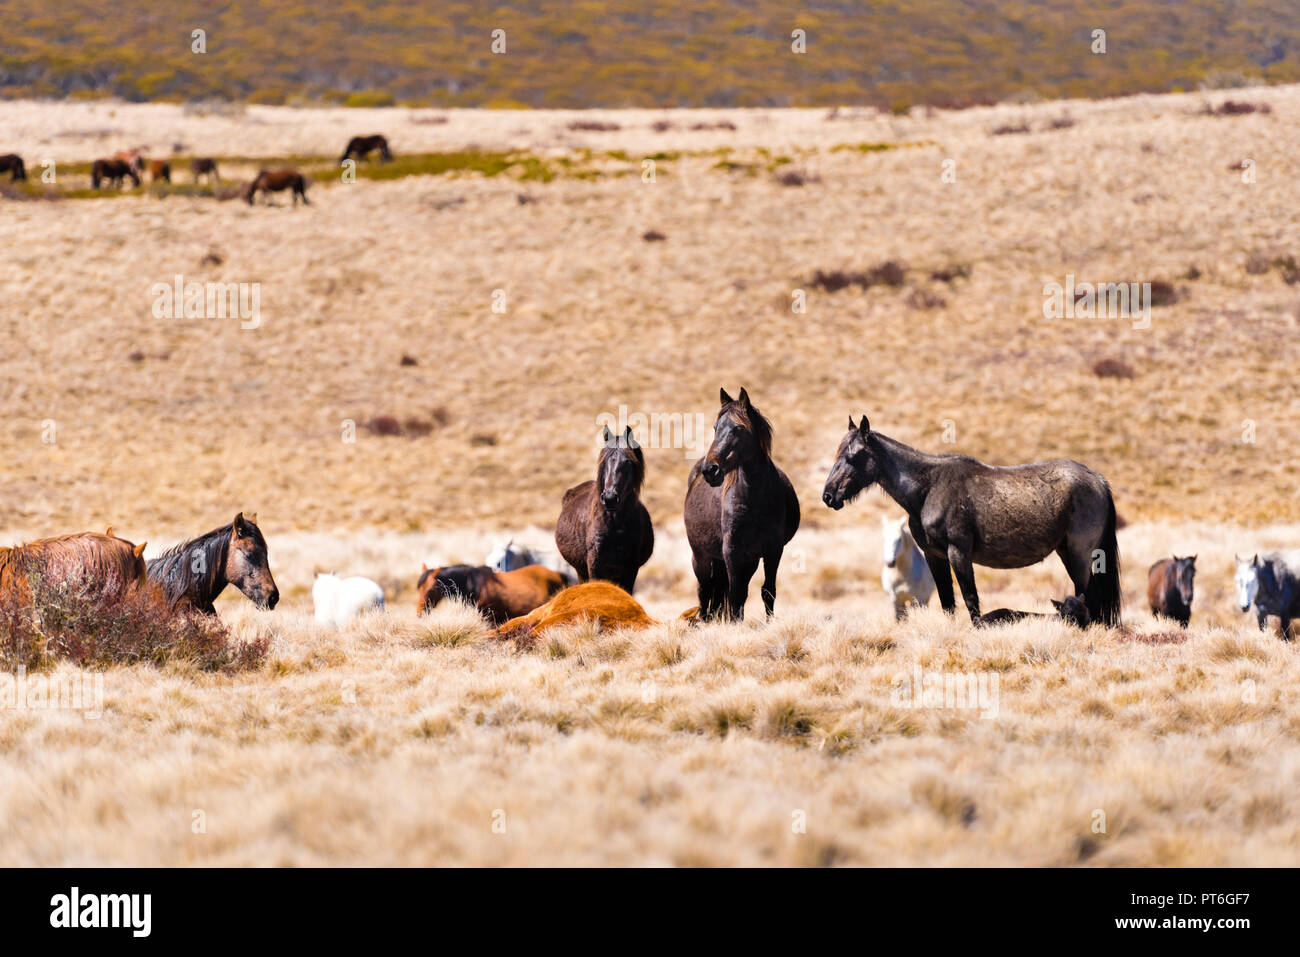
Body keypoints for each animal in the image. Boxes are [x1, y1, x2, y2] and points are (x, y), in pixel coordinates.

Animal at [555, 425, 655, 593]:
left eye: (628, 461)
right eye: (604, 461)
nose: (609, 498)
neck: (615, 525)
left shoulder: (630, 569)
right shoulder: (595, 566)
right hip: (581, 570)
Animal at [684, 388, 800, 621]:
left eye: (738, 428)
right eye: (715, 428)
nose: (710, 470)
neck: (754, 499)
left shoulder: (773, 550)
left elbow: (767, 591)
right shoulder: (732, 551)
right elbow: (736, 594)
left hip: (747, 559)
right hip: (700, 556)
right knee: (704, 589)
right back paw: (702, 621)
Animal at [823, 416, 1121, 627]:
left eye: (853, 456)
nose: (828, 495)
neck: (929, 488)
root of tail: (1097, 479)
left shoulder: (958, 553)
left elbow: (970, 601)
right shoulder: (935, 556)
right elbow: (947, 602)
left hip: (1080, 555)